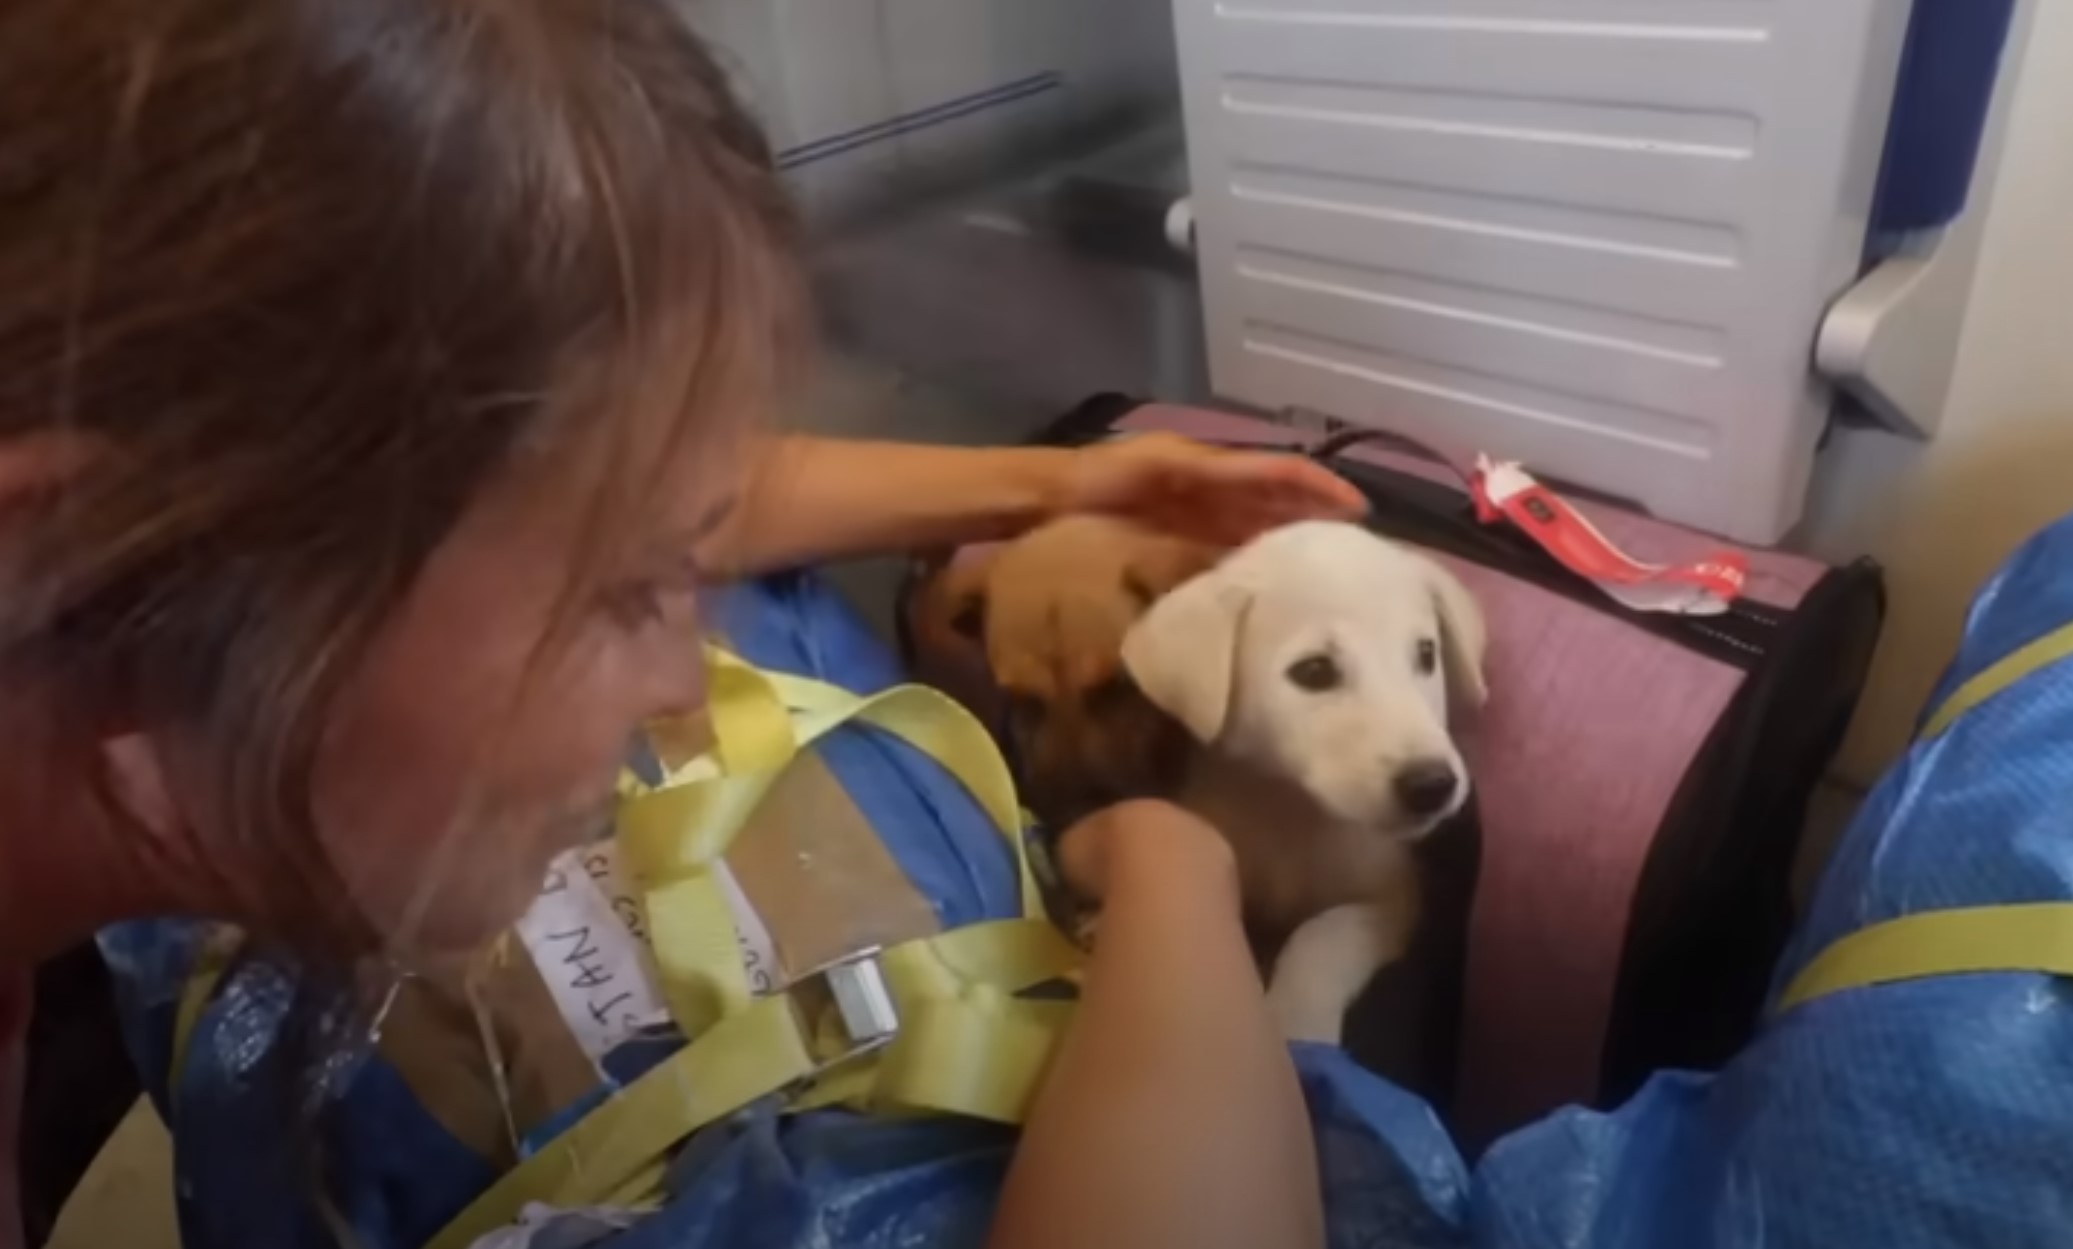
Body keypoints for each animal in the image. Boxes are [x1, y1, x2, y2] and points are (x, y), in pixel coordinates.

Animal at [1119, 517, 1492, 1043]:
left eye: (1426, 654)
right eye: (1314, 671)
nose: (1432, 785)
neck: (1295, 814)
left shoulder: (1393, 898)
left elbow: (1321, 934)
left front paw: (1297, 1023)